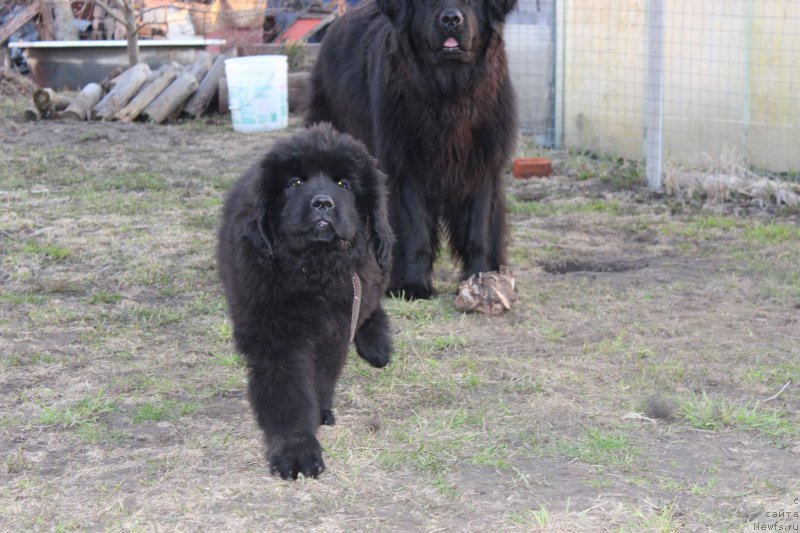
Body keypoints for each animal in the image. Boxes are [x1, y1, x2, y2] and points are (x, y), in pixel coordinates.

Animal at [217, 123, 396, 478]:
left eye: (343, 184)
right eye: (295, 183)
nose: (323, 203)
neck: (314, 268)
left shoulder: (336, 326)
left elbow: (322, 375)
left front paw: (320, 411)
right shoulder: (277, 336)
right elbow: (290, 393)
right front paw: (296, 448)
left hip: (380, 262)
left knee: (372, 305)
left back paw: (378, 345)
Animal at [306, 0, 520, 300]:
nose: (451, 19)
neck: (449, 95)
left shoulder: (482, 165)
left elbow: (478, 229)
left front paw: (482, 278)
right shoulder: (406, 167)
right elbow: (414, 228)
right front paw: (412, 285)